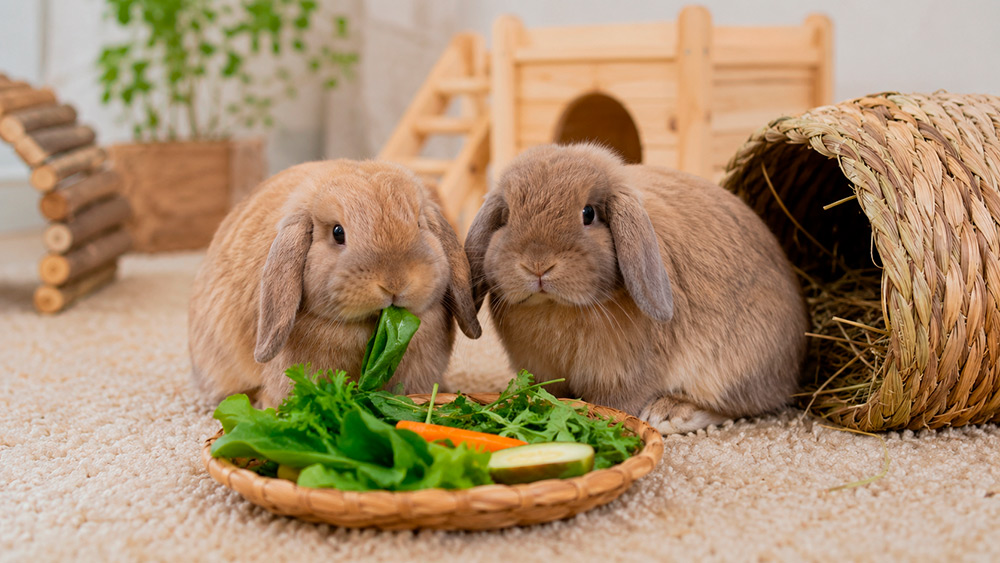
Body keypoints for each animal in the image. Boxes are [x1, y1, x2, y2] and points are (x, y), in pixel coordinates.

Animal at [465, 143, 807, 434]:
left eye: (588, 213)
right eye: (507, 216)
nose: (537, 265)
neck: (556, 306)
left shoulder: (623, 378)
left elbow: (616, 406)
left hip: (734, 368)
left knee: (736, 407)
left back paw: (667, 414)